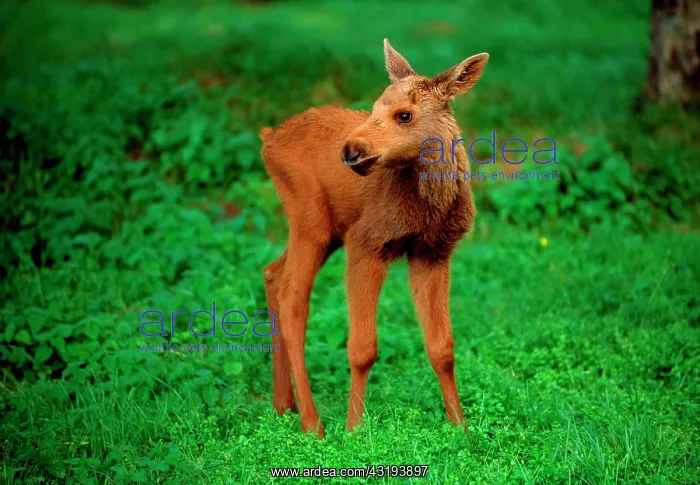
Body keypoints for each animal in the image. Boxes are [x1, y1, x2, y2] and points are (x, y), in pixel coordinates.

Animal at [259, 39, 489, 438]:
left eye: (404, 115)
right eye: (374, 107)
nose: (351, 151)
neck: (430, 206)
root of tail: (267, 140)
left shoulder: (433, 251)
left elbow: (442, 347)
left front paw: (460, 427)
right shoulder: (366, 242)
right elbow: (363, 348)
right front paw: (354, 429)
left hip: (324, 229)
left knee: (272, 272)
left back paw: (283, 405)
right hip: (310, 220)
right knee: (293, 299)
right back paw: (313, 424)